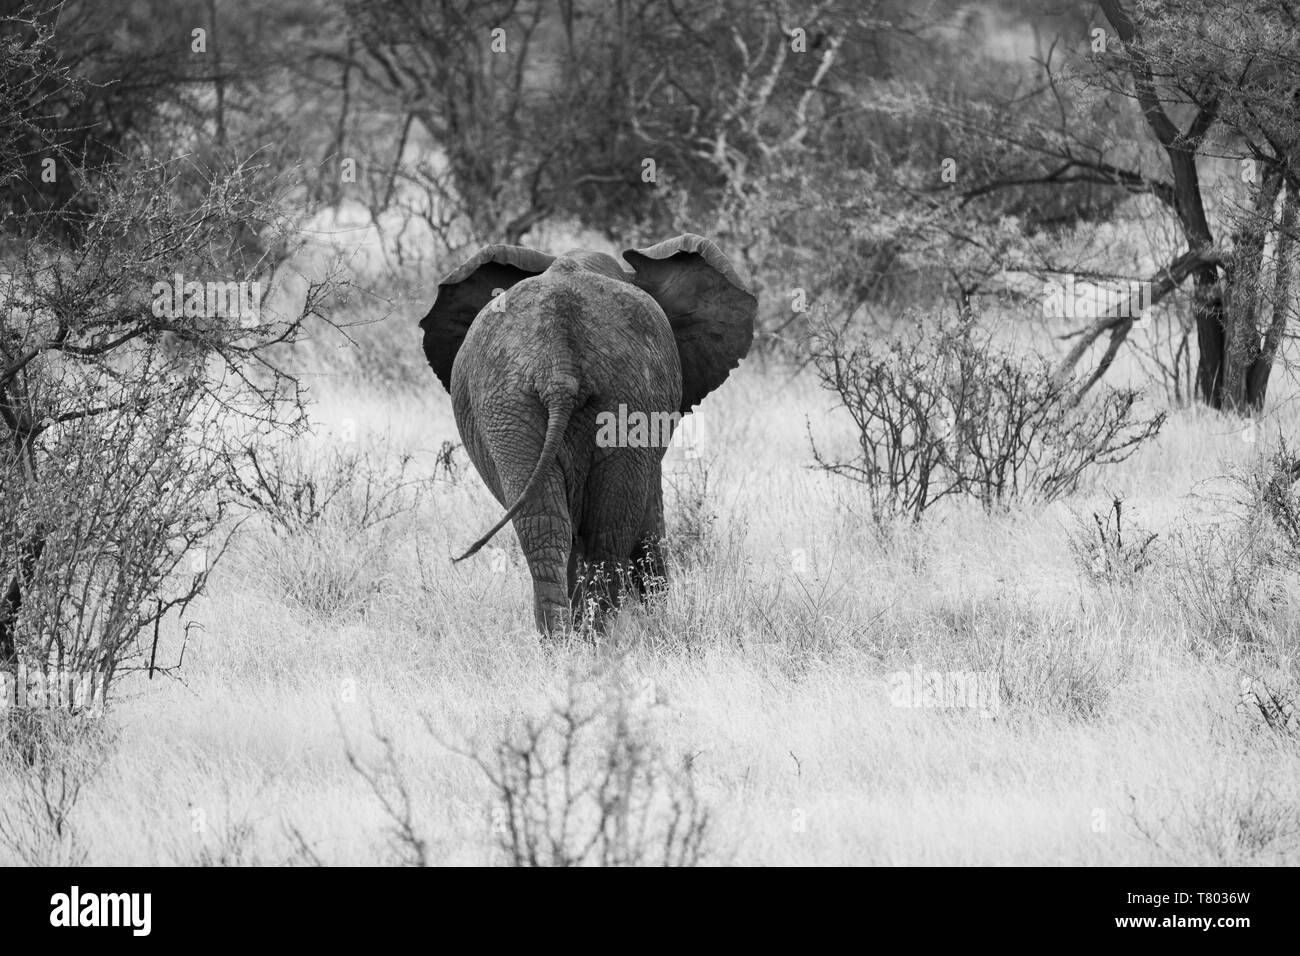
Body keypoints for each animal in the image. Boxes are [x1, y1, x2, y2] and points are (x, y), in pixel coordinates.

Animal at [421, 234, 759, 634]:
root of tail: (558, 365)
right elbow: (649, 511)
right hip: (602, 396)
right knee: (606, 529)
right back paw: (597, 633)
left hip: (515, 403)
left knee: (548, 527)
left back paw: (564, 637)